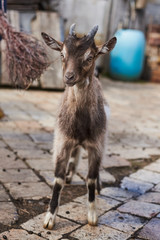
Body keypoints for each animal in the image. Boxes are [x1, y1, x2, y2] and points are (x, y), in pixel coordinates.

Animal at [41, 23, 116, 229]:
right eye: (62, 54)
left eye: (90, 57)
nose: (69, 77)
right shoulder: (62, 142)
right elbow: (58, 179)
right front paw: (49, 218)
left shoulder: (96, 145)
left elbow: (90, 178)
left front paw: (92, 216)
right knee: (75, 154)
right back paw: (70, 174)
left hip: (102, 139)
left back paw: (97, 185)